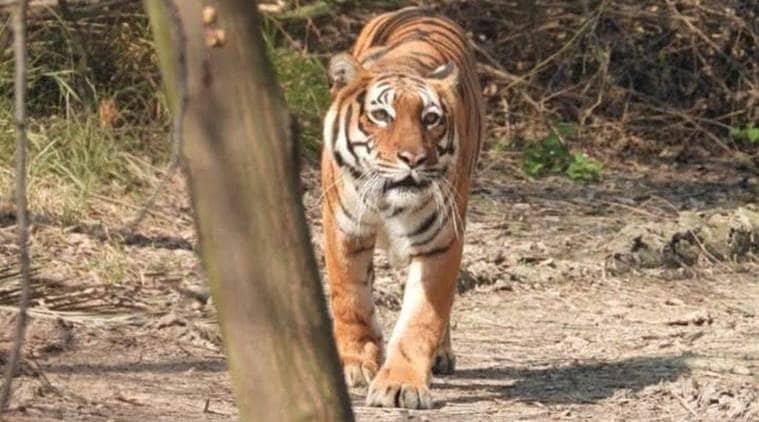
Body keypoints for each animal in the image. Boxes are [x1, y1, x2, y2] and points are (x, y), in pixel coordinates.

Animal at [321, 6, 484, 409]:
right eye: (382, 115)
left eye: (431, 118)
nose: (414, 158)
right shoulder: (345, 229)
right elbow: (350, 298)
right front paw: (356, 364)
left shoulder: (441, 241)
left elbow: (422, 318)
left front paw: (400, 384)